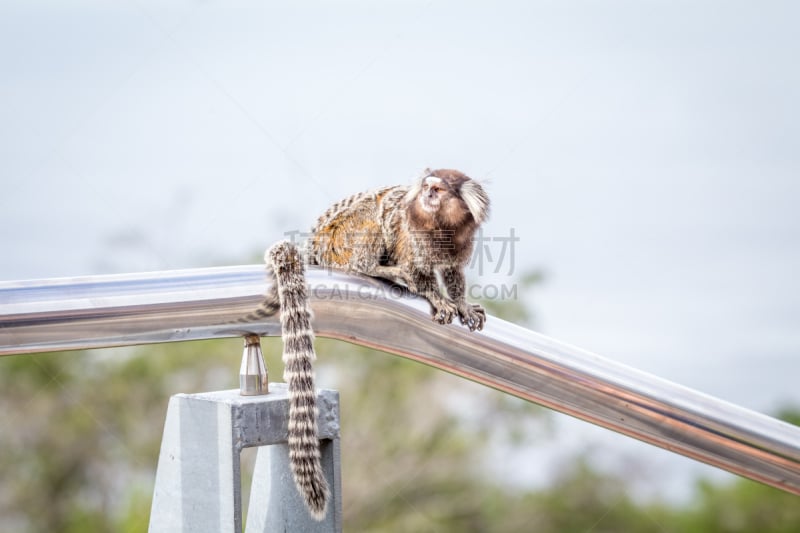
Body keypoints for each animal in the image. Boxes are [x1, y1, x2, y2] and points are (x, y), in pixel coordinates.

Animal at [256, 168, 488, 516]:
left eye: (438, 190)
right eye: (428, 188)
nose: (427, 195)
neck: (440, 226)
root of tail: (313, 247)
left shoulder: (457, 246)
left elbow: (452, 273)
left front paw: (461, 304)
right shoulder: (410, 236)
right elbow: (416, 270)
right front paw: (436, 298)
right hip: (339, 243)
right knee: (369, 223)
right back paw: (381, 269)